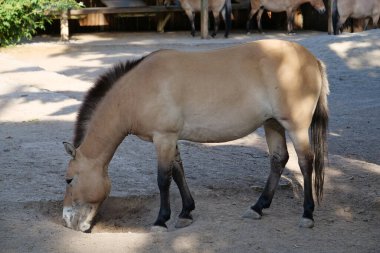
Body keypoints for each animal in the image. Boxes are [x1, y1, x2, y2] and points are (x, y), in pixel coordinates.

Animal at [62, 40, 330, 233]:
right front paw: (185, 213)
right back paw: (257, 208)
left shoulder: (163, 138)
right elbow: (178, 172)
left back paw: (307, 214)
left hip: (295, 126)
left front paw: (161, 221)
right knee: (278, 159)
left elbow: (163, 179)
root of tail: (312, 59)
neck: (137, 90)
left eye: (69, 180)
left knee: (306, 162)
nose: (66, 222)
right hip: (272, 124)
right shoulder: (170, 140)